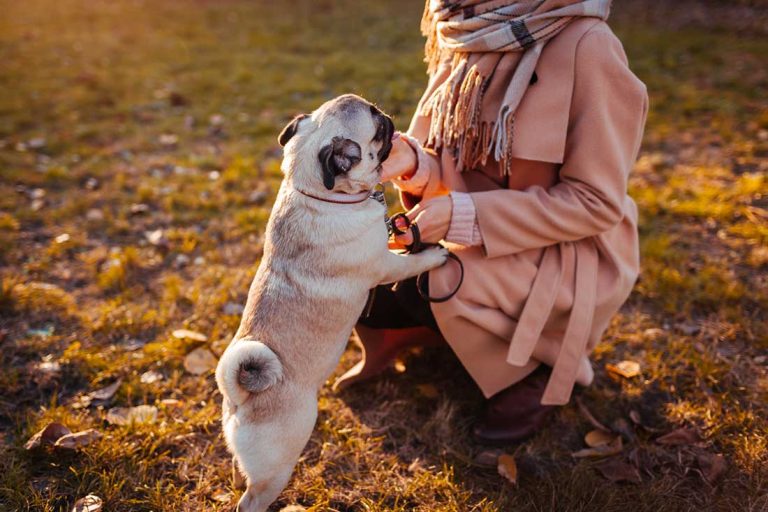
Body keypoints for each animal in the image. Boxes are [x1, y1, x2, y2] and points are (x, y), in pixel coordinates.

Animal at [214, 94, 450, 510]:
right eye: (377, 126)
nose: (386, 115)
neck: (320, 193)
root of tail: (241, 398)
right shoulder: (384, 264)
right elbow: (410, 261)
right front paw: (433, 255)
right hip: (280, 463)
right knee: (252, 499)